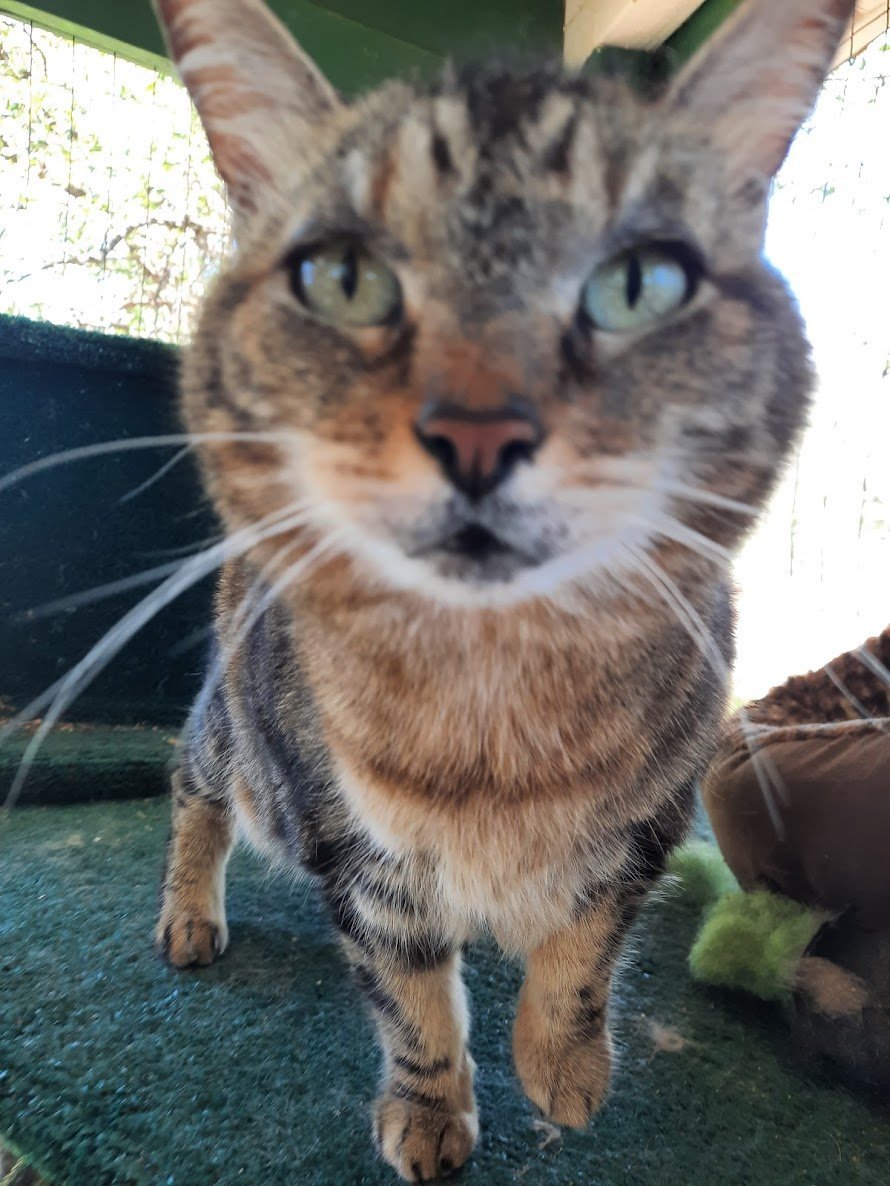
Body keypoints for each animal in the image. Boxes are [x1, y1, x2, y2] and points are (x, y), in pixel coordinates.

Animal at [150, 0, 859, 1176]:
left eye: (640, 283)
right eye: (344, 276)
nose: (478, 430)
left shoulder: (652, 823)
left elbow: (584, 946)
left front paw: (563, 1063)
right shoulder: (357, 853)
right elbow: (411, 1001)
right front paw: (432, 1108)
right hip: (241, 742)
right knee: (192, 785)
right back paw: (188, 911)